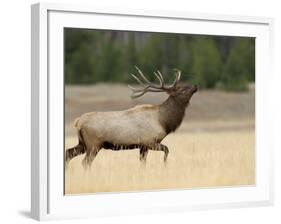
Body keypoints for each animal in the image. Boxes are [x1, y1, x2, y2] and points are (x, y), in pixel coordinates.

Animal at [65, 67, 197, 169]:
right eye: (181, 89)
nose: (195, 85)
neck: (164, 122)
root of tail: (78, 122)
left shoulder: (143, 146)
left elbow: (143, 163)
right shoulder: (149, 141)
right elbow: (167, 150)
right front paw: (165, 165)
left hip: (83, 143)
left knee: (68, 153)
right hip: (93, 144)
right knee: (85, 162)